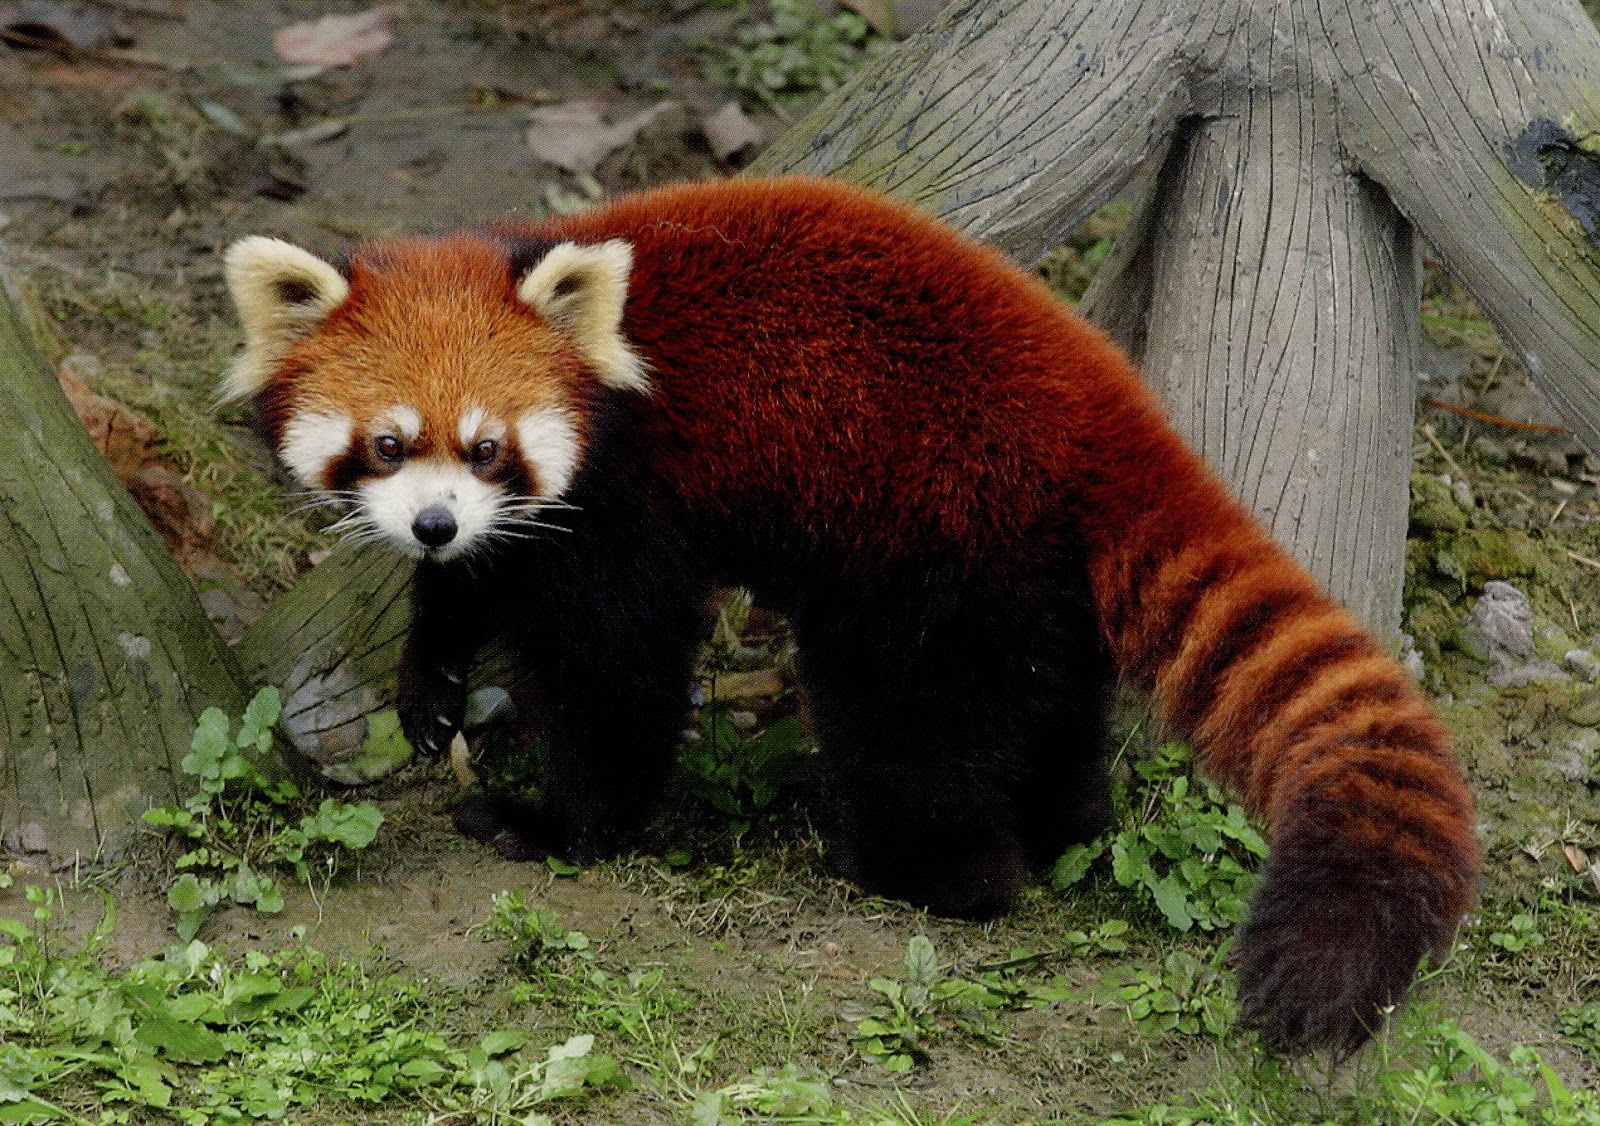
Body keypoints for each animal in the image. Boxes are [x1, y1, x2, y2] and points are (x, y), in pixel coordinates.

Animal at [222, 173, 1472, 1055]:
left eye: (487, 446)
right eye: (390, 445)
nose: (434, 520)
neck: (609, 364)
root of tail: (1102, 400)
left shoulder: (631, 500)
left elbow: (615, 673)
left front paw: (559, 823)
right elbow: (484, 583)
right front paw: (429, 677)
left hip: (928, 524)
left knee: (910, 715)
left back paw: (923, 870)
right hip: (1019, 556)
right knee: (1046, 689)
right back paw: (1063, 825)